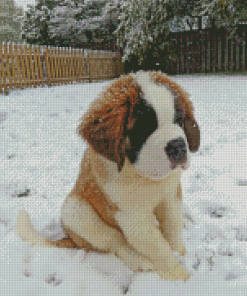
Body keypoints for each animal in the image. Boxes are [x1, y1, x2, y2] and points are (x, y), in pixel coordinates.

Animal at [16, 70, 201, 280]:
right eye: (143, 128)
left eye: (179, 120)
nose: (178, 147)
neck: (143, 176)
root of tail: (71, 238)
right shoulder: (132, 216)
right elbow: (158, 247)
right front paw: (181, 277)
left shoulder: (171, 195)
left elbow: (172, 225)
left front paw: (180, 251)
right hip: (76, 210)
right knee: (116, 242)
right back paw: (139, 260)